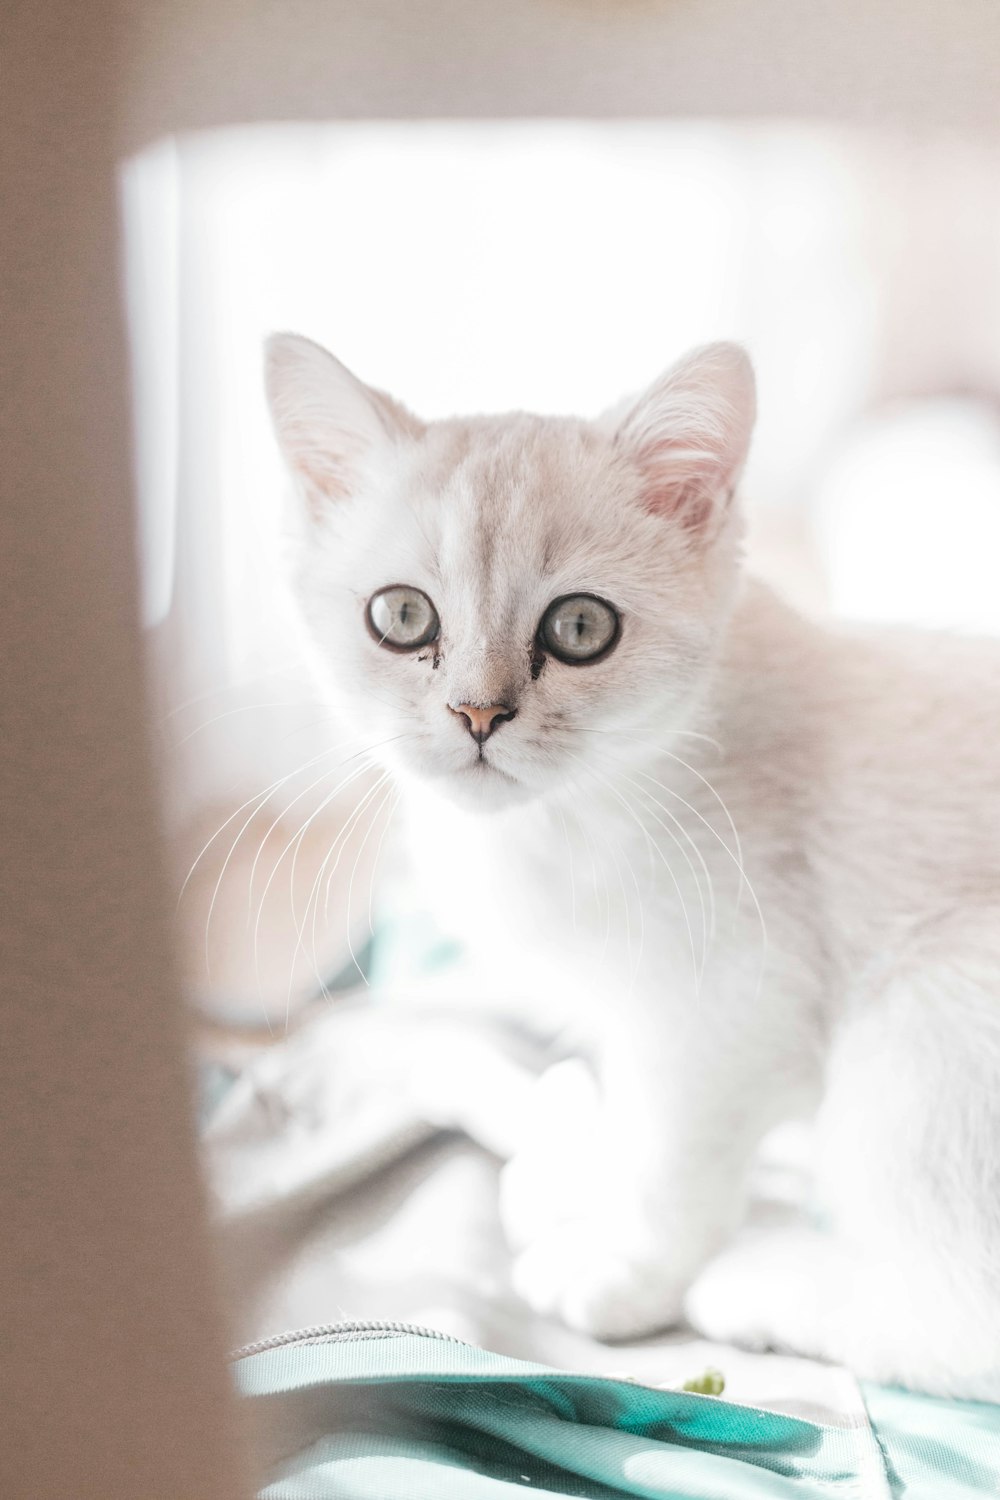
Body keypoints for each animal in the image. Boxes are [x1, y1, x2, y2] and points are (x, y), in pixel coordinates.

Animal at [263, 334, 1000, 1398]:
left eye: (579, 629)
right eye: (401, 616)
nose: (477, 714)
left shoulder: (731, 1002)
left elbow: (673, 1153)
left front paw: (626, 1266)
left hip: (925, 1021)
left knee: (960, 1318)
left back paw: (761, 1279)